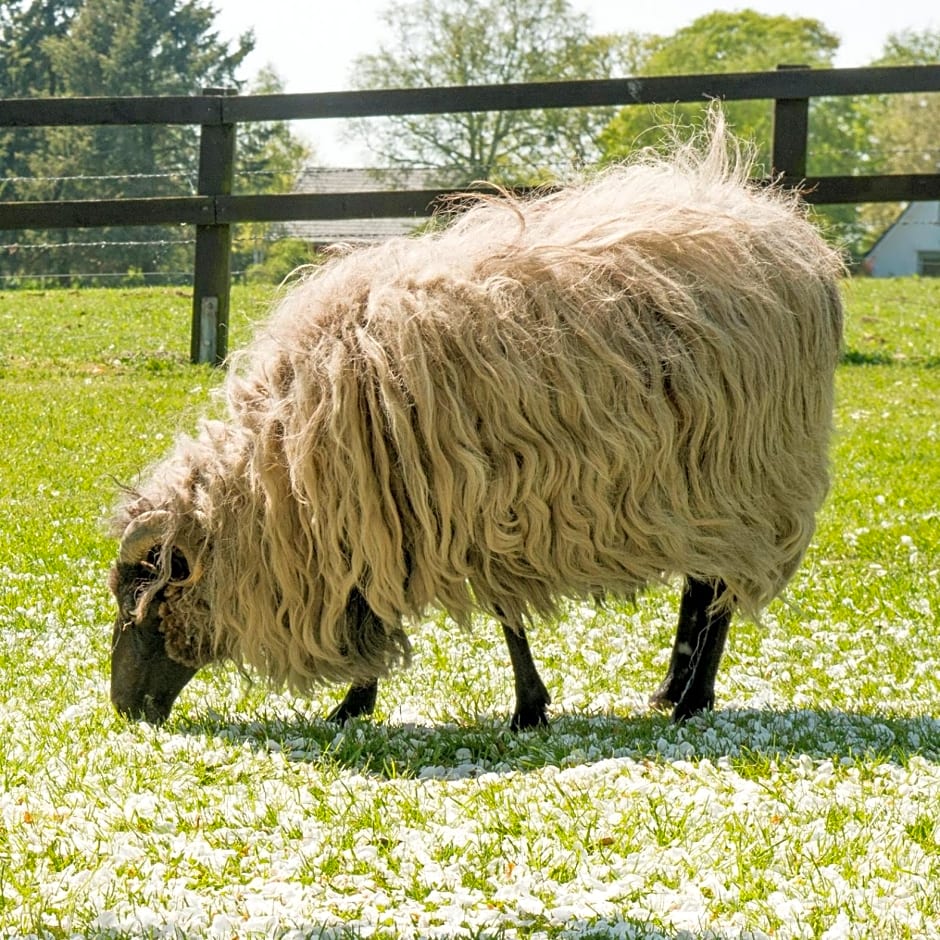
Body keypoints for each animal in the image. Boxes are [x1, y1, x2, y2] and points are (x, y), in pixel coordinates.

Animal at [108, 115, 844, 728]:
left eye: (145, 600)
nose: (125, 709)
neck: (282, 479)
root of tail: (783, 227)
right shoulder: (418, 517)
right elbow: (402, 605)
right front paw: (363, 700)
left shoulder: (465, 508)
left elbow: (495, 614)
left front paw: (519, 708)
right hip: (706, 481)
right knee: (703, 583)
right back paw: (674, 690)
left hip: (743, 468)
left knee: (714, 590)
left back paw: (692, 699)